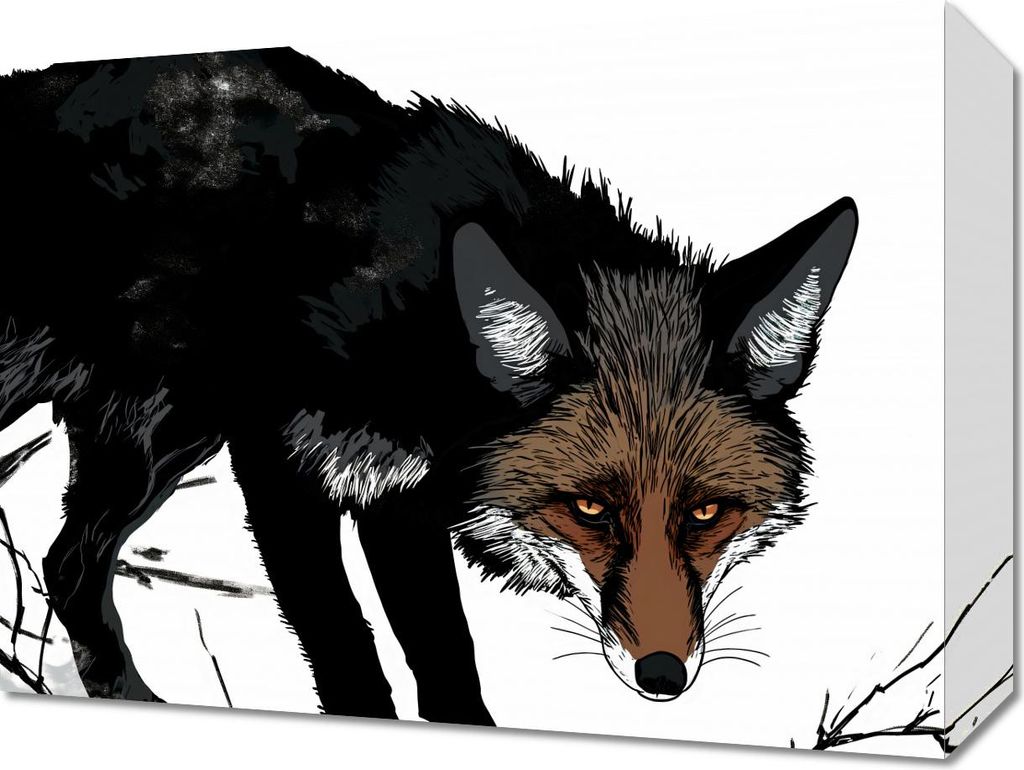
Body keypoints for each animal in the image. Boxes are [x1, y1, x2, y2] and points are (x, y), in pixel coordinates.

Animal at [0, 48, 857, 722]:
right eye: (589, 509)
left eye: (706, 512)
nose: (663, 677)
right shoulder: (282, 469)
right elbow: (344, 643)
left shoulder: (394, 496)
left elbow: (444, 653)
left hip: (157, 440)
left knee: (67, 564)